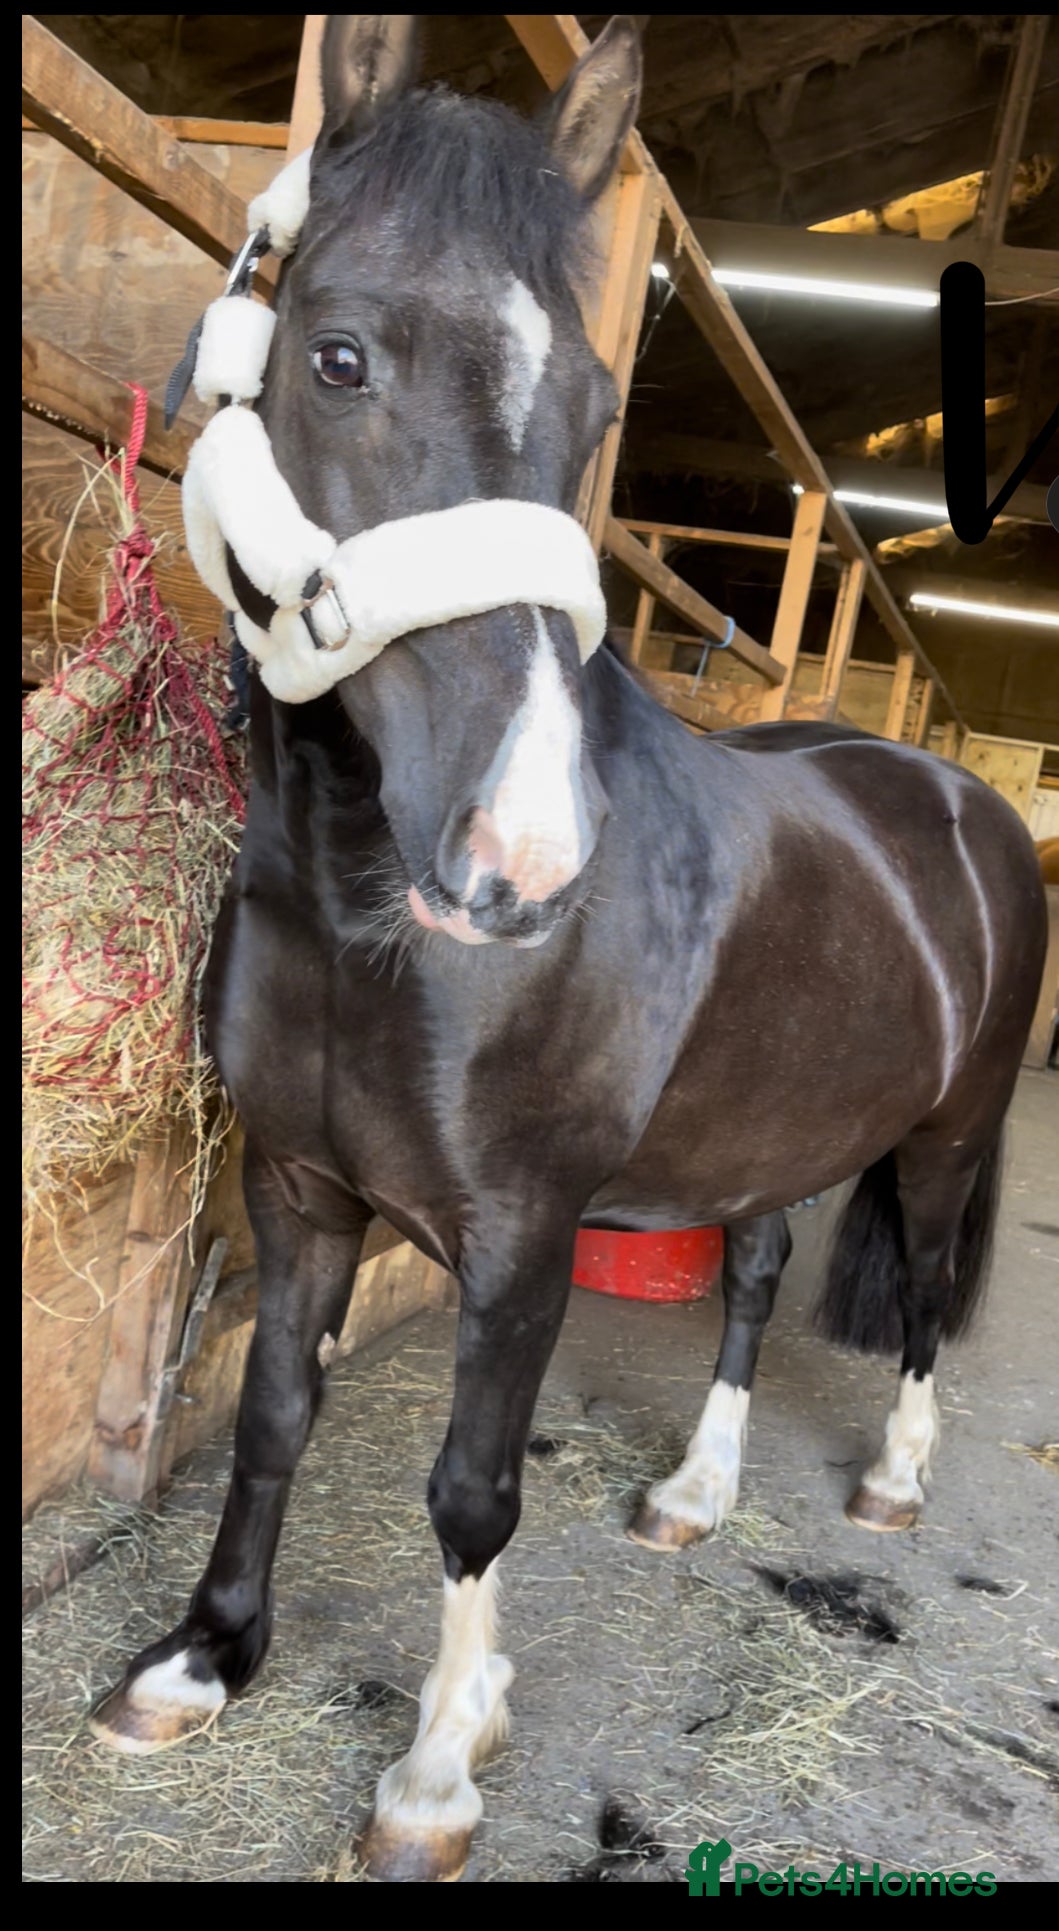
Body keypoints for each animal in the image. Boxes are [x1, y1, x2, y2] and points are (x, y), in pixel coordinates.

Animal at [91, 17, 1047, 1882]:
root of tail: (958, 804)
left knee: (920, 1298)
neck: (377, 927)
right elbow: (271, 1413)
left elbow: (471, 1490)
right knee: (752, 1276)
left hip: (946, 1132)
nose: (520, 860)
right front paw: (203, 1656)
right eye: (336, 356)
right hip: (770, 1132)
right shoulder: (296, 1189)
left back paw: (890, 1482)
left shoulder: (521, 1232)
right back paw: (691, 1497)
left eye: (598, 408)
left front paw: (438, 1766)